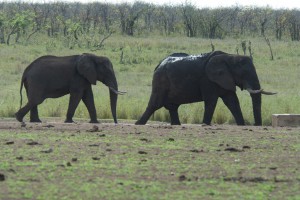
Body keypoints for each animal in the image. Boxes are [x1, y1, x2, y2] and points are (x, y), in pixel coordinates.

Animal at [137, 50, 276, 125]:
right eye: (244, 73)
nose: (255, 124)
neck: (230, 57)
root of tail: (159, 64)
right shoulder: (207, 80)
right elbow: (211, 101)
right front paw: (205, 124)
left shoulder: (225, 80)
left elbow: (232, 101)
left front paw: (241, 125)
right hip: (161, 81)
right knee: (155, 104)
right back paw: (139, 123)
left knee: (172, 107)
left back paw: (176, 124)